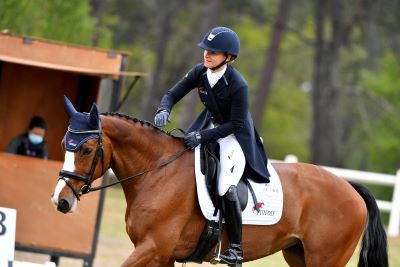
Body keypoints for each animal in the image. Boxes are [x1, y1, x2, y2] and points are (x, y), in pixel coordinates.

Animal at [50, 99, 388, 266]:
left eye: (86, 150)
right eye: (65, 145)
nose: (61, 200)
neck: (156, 173)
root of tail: (350, 187)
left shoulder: (152, 248)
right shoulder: (162, 255)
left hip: (325, 259)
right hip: (298, 255)